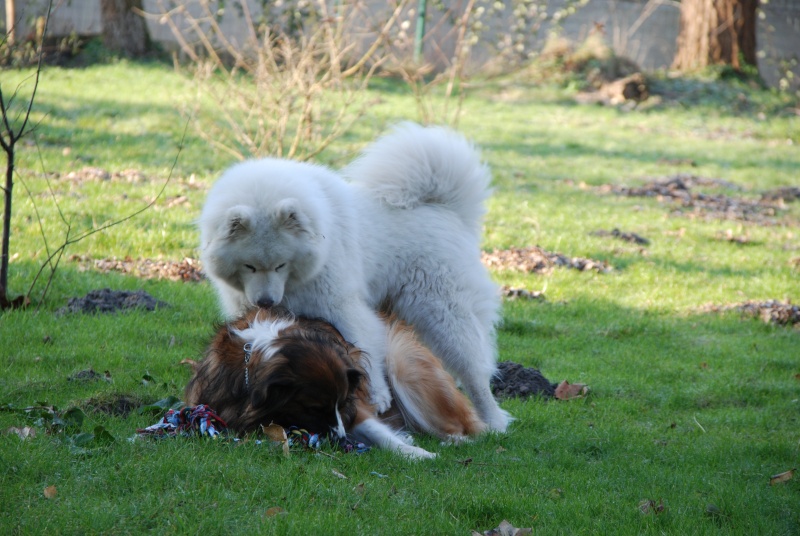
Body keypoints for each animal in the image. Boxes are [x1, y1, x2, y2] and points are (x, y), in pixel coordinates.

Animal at [200, 122, 512, 432]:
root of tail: (445, 208)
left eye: (281, 265)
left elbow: (365, 346)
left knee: (475, 370)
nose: (266, 301)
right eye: (249, 266)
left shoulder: (341, 305)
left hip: (444, 313)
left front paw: (378, 396)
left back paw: (493, 421)